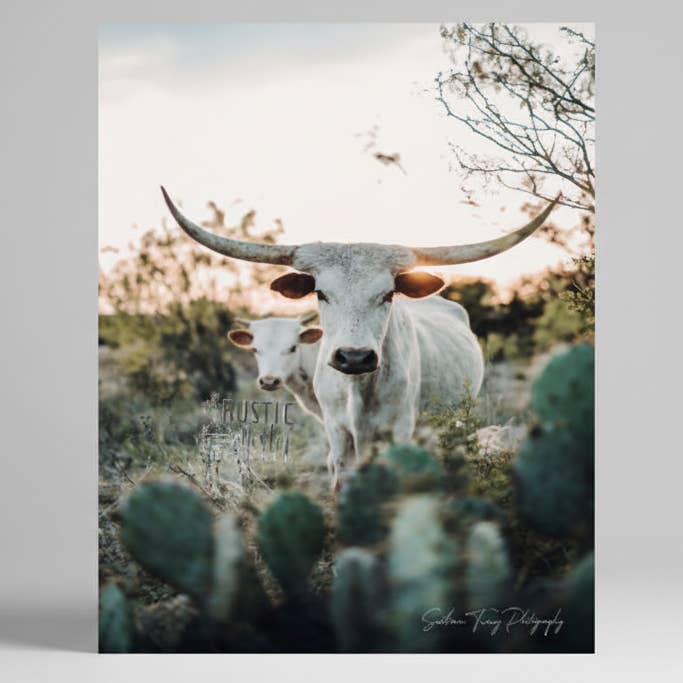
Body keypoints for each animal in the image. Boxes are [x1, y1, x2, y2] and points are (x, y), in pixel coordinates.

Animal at [161, 186, 558, 489]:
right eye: (321, 293)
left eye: (389, 294)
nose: (354, 357)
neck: (358, 390)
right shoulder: (337, 431)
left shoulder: (400, 428)